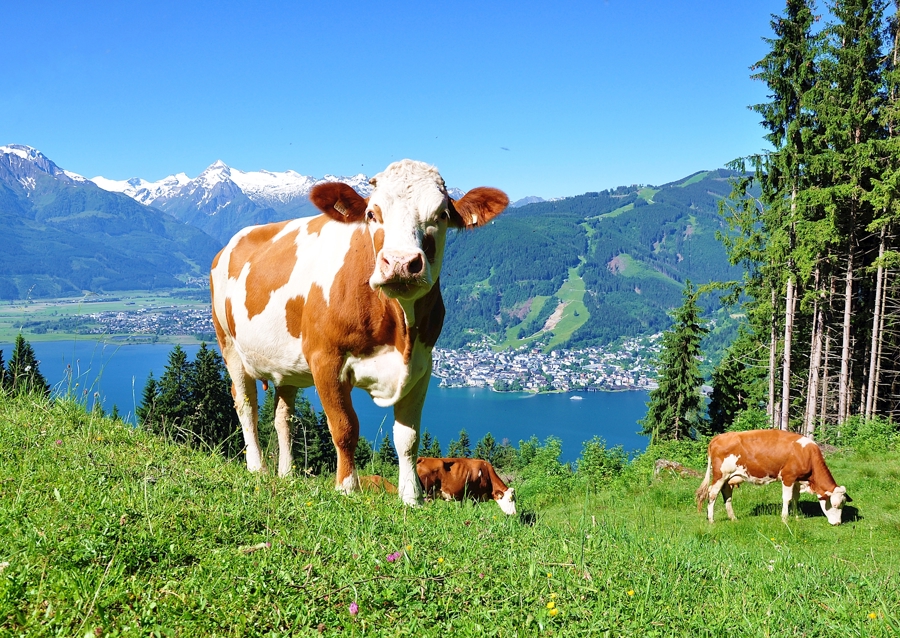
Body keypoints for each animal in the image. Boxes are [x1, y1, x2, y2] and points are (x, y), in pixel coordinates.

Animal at [210, 159, 508, 506]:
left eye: (442, 214)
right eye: (372, 214)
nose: (401, 263)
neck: (399, 331)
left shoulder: (422, 365)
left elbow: (408, 437)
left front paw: (412, 497)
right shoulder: (326, 360)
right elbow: (344, 427)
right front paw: (347, 487)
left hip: (286, 366)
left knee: (283, 416)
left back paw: (287, 473)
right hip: (229, 345)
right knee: (246, 405)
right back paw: (257, 467)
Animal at [695, 429, 851, 525]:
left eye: (843, 504)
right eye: (835, 505)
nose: (838, 523)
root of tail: (718, 437)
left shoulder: (796, 480)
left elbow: (795, 498)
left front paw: (796, 517)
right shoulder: (788, 477)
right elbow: (787, 498)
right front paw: (785, 519)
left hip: (729, 478)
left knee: (726, 495)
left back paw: (733, 518)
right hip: (720, 475)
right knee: (712, 494)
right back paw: (711, 520)